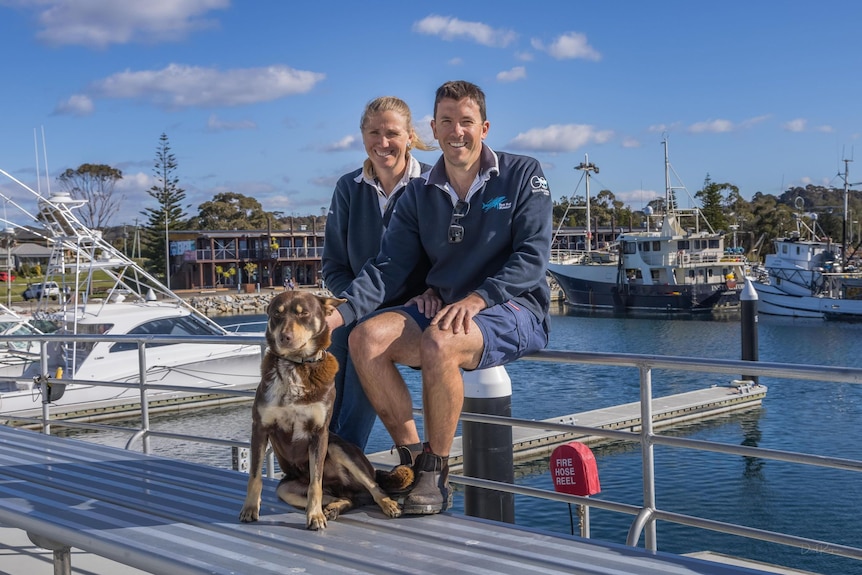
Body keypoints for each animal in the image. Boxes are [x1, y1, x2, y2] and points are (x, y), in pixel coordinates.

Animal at [240, 292, 416, 532]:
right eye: (277, 313)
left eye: (303, 313)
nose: (285, 337)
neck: (297, 366)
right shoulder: (260, 428)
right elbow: (255, 476)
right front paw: (249, 509)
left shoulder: (319, 433)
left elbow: (316, 483)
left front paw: (314, 516)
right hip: (286, 488)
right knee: (347, 498)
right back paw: (333, 508)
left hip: (338, 448)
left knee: (373, 487)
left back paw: (387, 504)